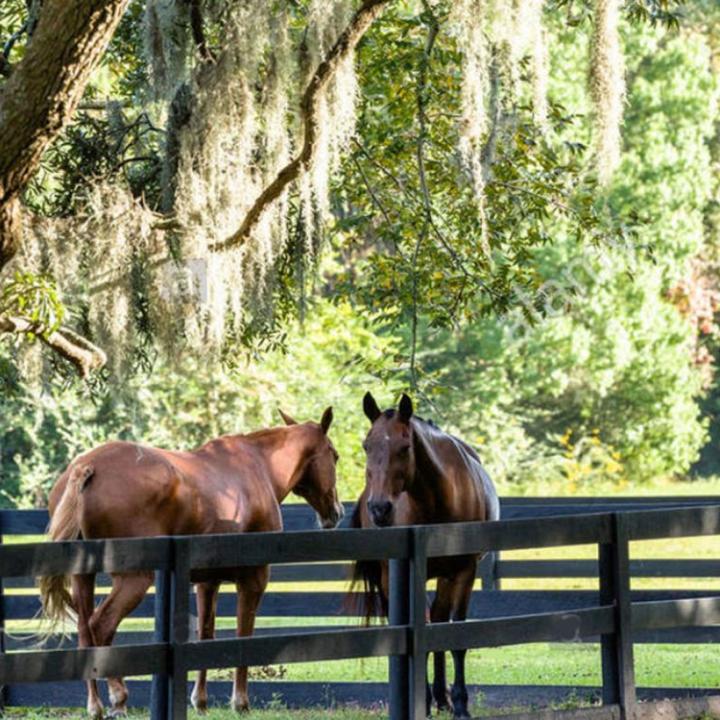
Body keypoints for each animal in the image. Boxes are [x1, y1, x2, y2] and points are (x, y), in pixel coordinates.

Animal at [39, 407, 343, 719]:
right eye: (334, 455)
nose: (336, 512)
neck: (259, 467)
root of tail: (86, 467)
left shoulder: (207, 582)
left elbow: (205, 636)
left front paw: (201, 700)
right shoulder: (254, 579)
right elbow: (243, 635)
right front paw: (240, 702)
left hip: (82, 578)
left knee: (84, 632)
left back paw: (95, 705)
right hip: (134, 579)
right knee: (101, 625)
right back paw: (118, 697)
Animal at [350, 392, 500, 719]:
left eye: (405, 447)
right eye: (367, 445)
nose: (379, 508)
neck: (439, 499)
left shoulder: (463, 572)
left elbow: (455, 637)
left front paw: (460, 704)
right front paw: (424, 701)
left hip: (445, 576)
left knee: (440, 622)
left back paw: (443, 698)